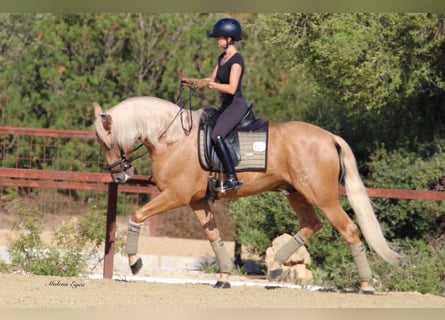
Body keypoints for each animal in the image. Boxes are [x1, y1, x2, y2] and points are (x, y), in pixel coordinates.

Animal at [93, 95, 398, 292]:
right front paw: (224, 276)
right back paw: (276, 265)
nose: (119, 176)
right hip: (296, 193)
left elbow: (137, 215)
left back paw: (366, 285)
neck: (173, 138)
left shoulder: (175, 195)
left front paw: (135, 262)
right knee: (312, 225)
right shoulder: (197, 200)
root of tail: (328, 137)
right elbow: (214, 236)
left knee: (349, 230)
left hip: (323, 197)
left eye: (106, 142)